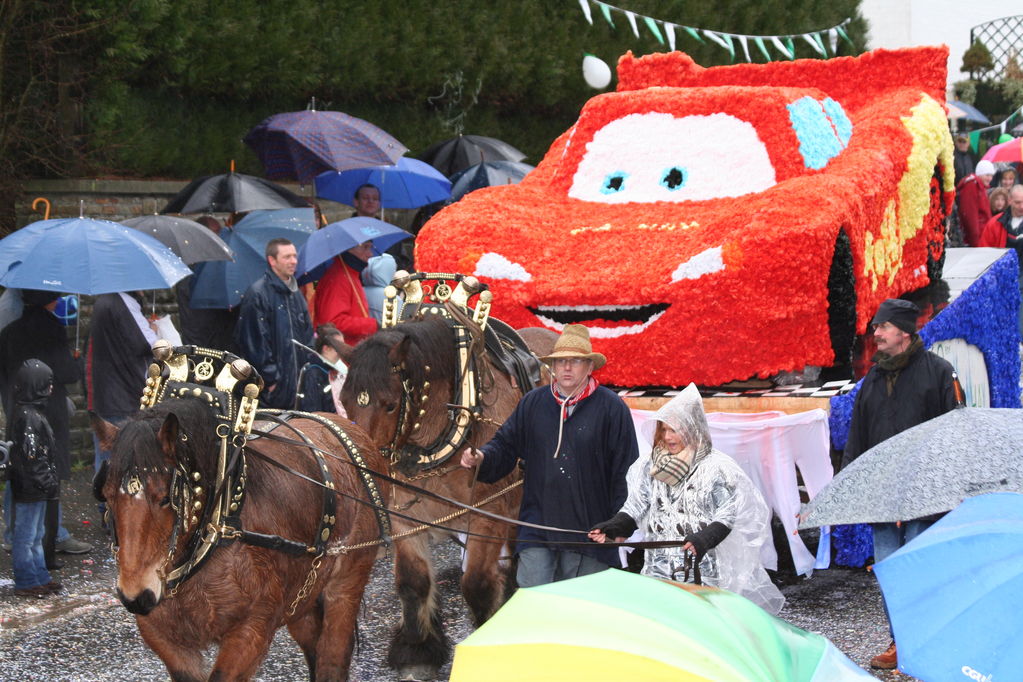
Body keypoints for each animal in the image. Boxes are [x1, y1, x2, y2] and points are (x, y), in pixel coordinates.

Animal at [94, 400, 388, 682]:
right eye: (107, 496)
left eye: (166, 498)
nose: (136, 596)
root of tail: (347, 426)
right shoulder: (164, 638)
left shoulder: (253, 628)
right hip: (303, 594)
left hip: (348, 580)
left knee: (332, 658)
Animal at [339, 316, 556, 682]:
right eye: (344, 401)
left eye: (390, 404)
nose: (365, 468)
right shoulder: (404, 517)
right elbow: (413, 582)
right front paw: (417, 651)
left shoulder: (487, 513)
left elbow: (477, 585)